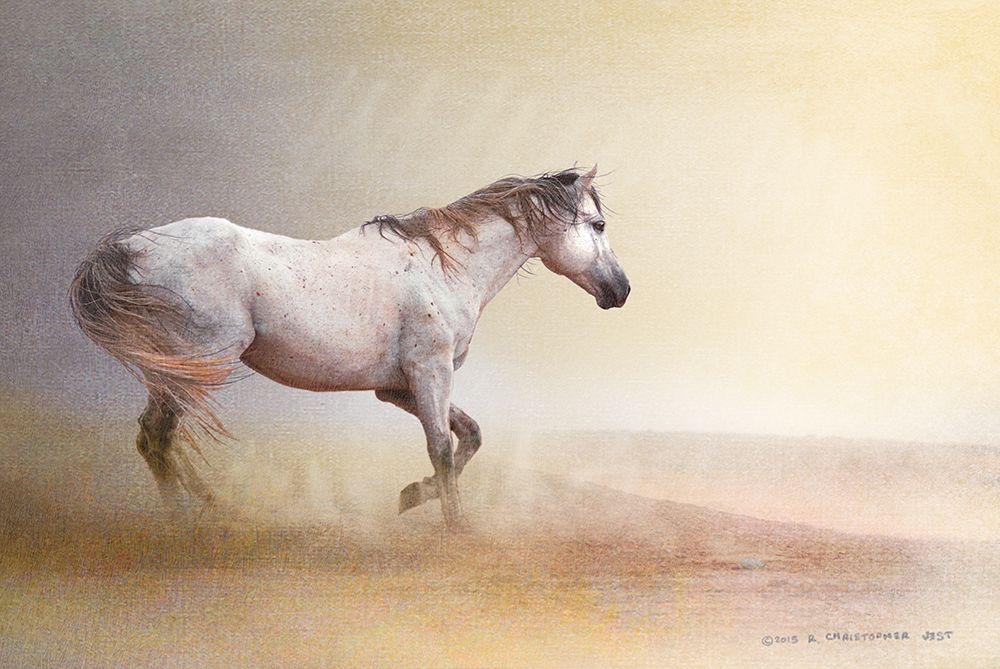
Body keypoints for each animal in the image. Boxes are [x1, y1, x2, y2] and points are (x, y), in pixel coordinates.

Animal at [69, 166, 630, 530]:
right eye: (598, 225)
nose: (621, 290)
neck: (443, 267)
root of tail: (130, 247)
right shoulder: (430, 373)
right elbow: (443, 448)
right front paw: (456, 528)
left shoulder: (397, 388)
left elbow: (468, 436)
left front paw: (411, 497)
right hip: (197, 367)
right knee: (157, 438)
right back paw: (188, 521)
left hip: (177, 374)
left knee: (154, 439)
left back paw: (212, 508)